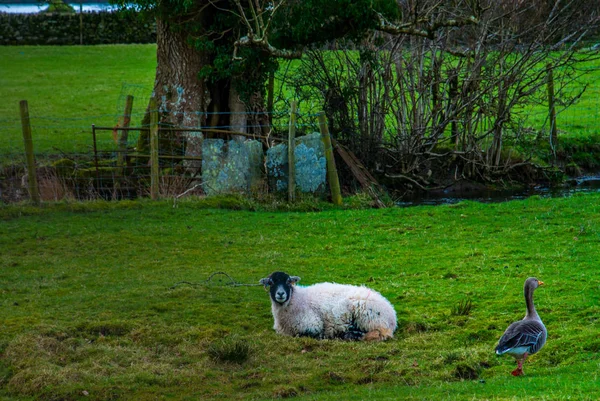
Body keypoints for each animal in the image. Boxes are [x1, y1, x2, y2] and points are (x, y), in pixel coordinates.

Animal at [258, 270, 396, 340]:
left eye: (288, 281)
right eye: (271, 282)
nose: (280, 294)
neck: (296, 299)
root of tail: (392, 314)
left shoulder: (313, 325)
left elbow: (307, 334)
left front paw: (324, 336)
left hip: (370, 319)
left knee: (378, 334)